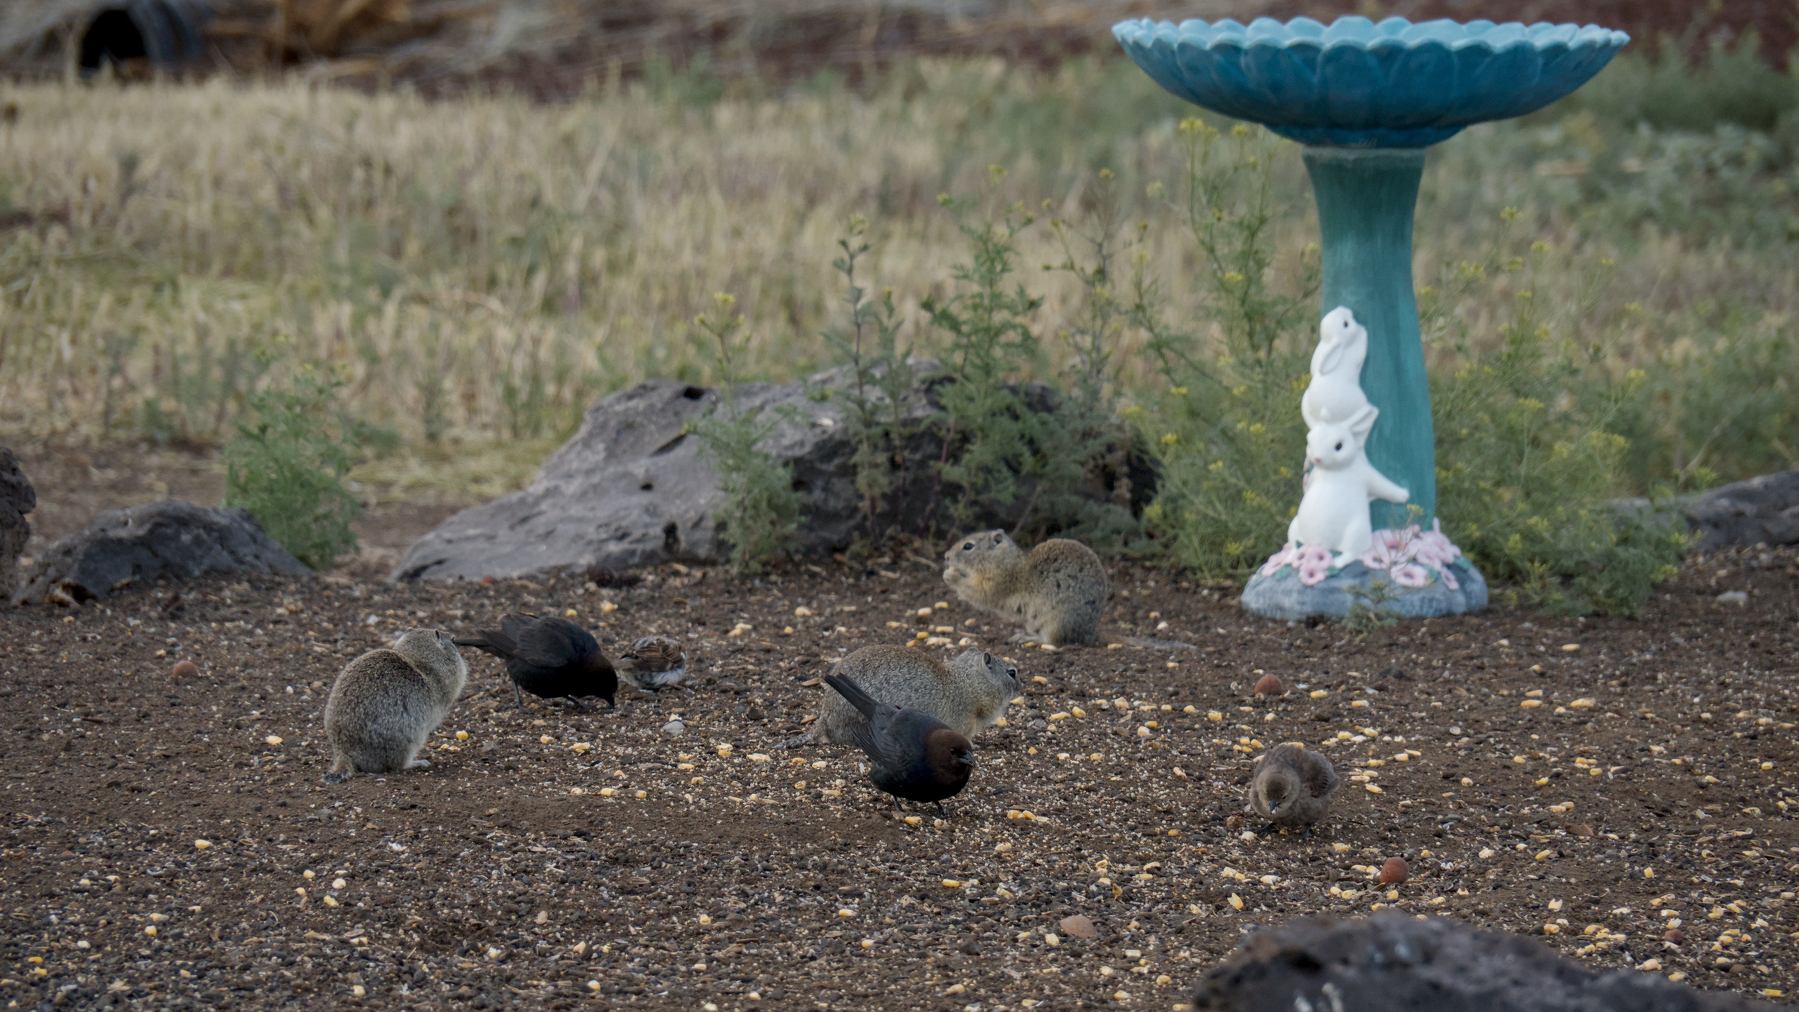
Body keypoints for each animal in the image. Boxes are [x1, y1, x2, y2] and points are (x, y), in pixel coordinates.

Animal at [322, 628, 467, 784]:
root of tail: (344, 751)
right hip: (411, 740)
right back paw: (419, 762)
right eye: (452, 641)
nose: (454, 637)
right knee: (399, 764)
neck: (417, 659)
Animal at [942, 530, 1109, 646]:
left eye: (968, 546)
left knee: (1053, 642)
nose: (946, 556)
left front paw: (950, 575)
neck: (1001, 560)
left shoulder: (993, 584)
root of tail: (1089, 634)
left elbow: (975, 592)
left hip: (1056, 622)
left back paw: (1027, 639)